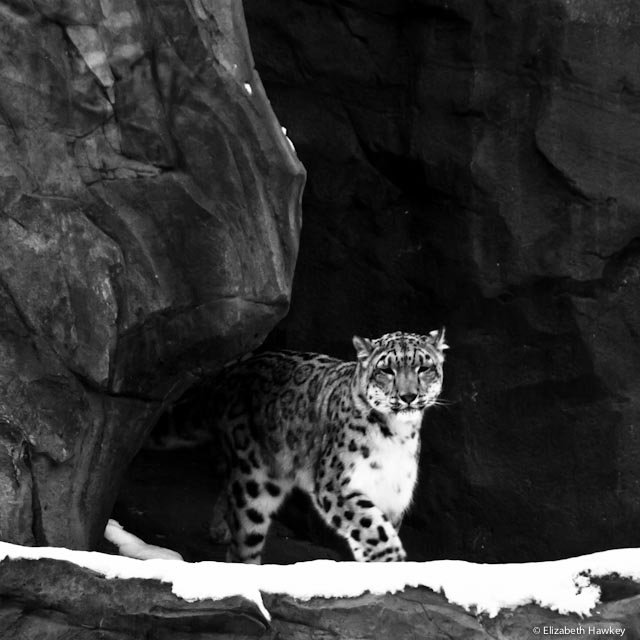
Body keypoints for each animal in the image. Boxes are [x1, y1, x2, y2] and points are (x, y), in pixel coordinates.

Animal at [208, 329, 448, 564]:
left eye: (424, 368)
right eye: (386, 370)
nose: (408, 396)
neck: (397, 435)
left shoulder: (393, 495)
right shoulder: (336, 484)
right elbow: (372, 526)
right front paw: (390, 557)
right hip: (254, 482)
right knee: (243, 544)